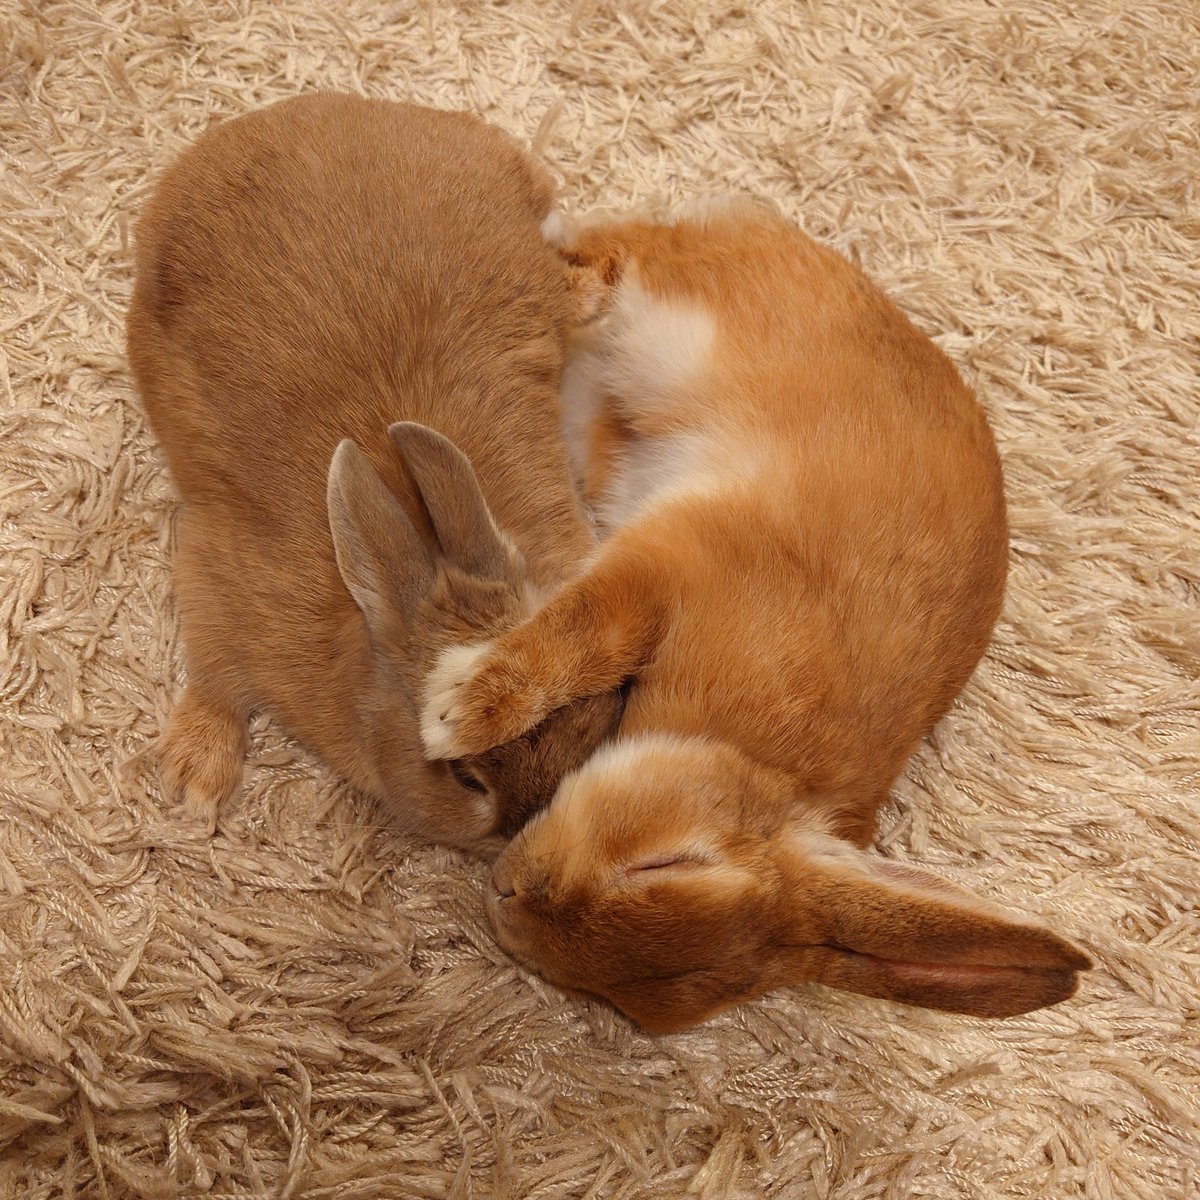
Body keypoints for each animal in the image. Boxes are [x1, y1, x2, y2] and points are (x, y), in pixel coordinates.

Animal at [420, 198, 1093, 1030]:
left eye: (631, 1005)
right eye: (667, 863)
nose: (510, 890)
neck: (741, 752)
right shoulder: (679, 564)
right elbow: (582, 635)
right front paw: (453, 711)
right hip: (669, 332)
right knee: (617, 254)